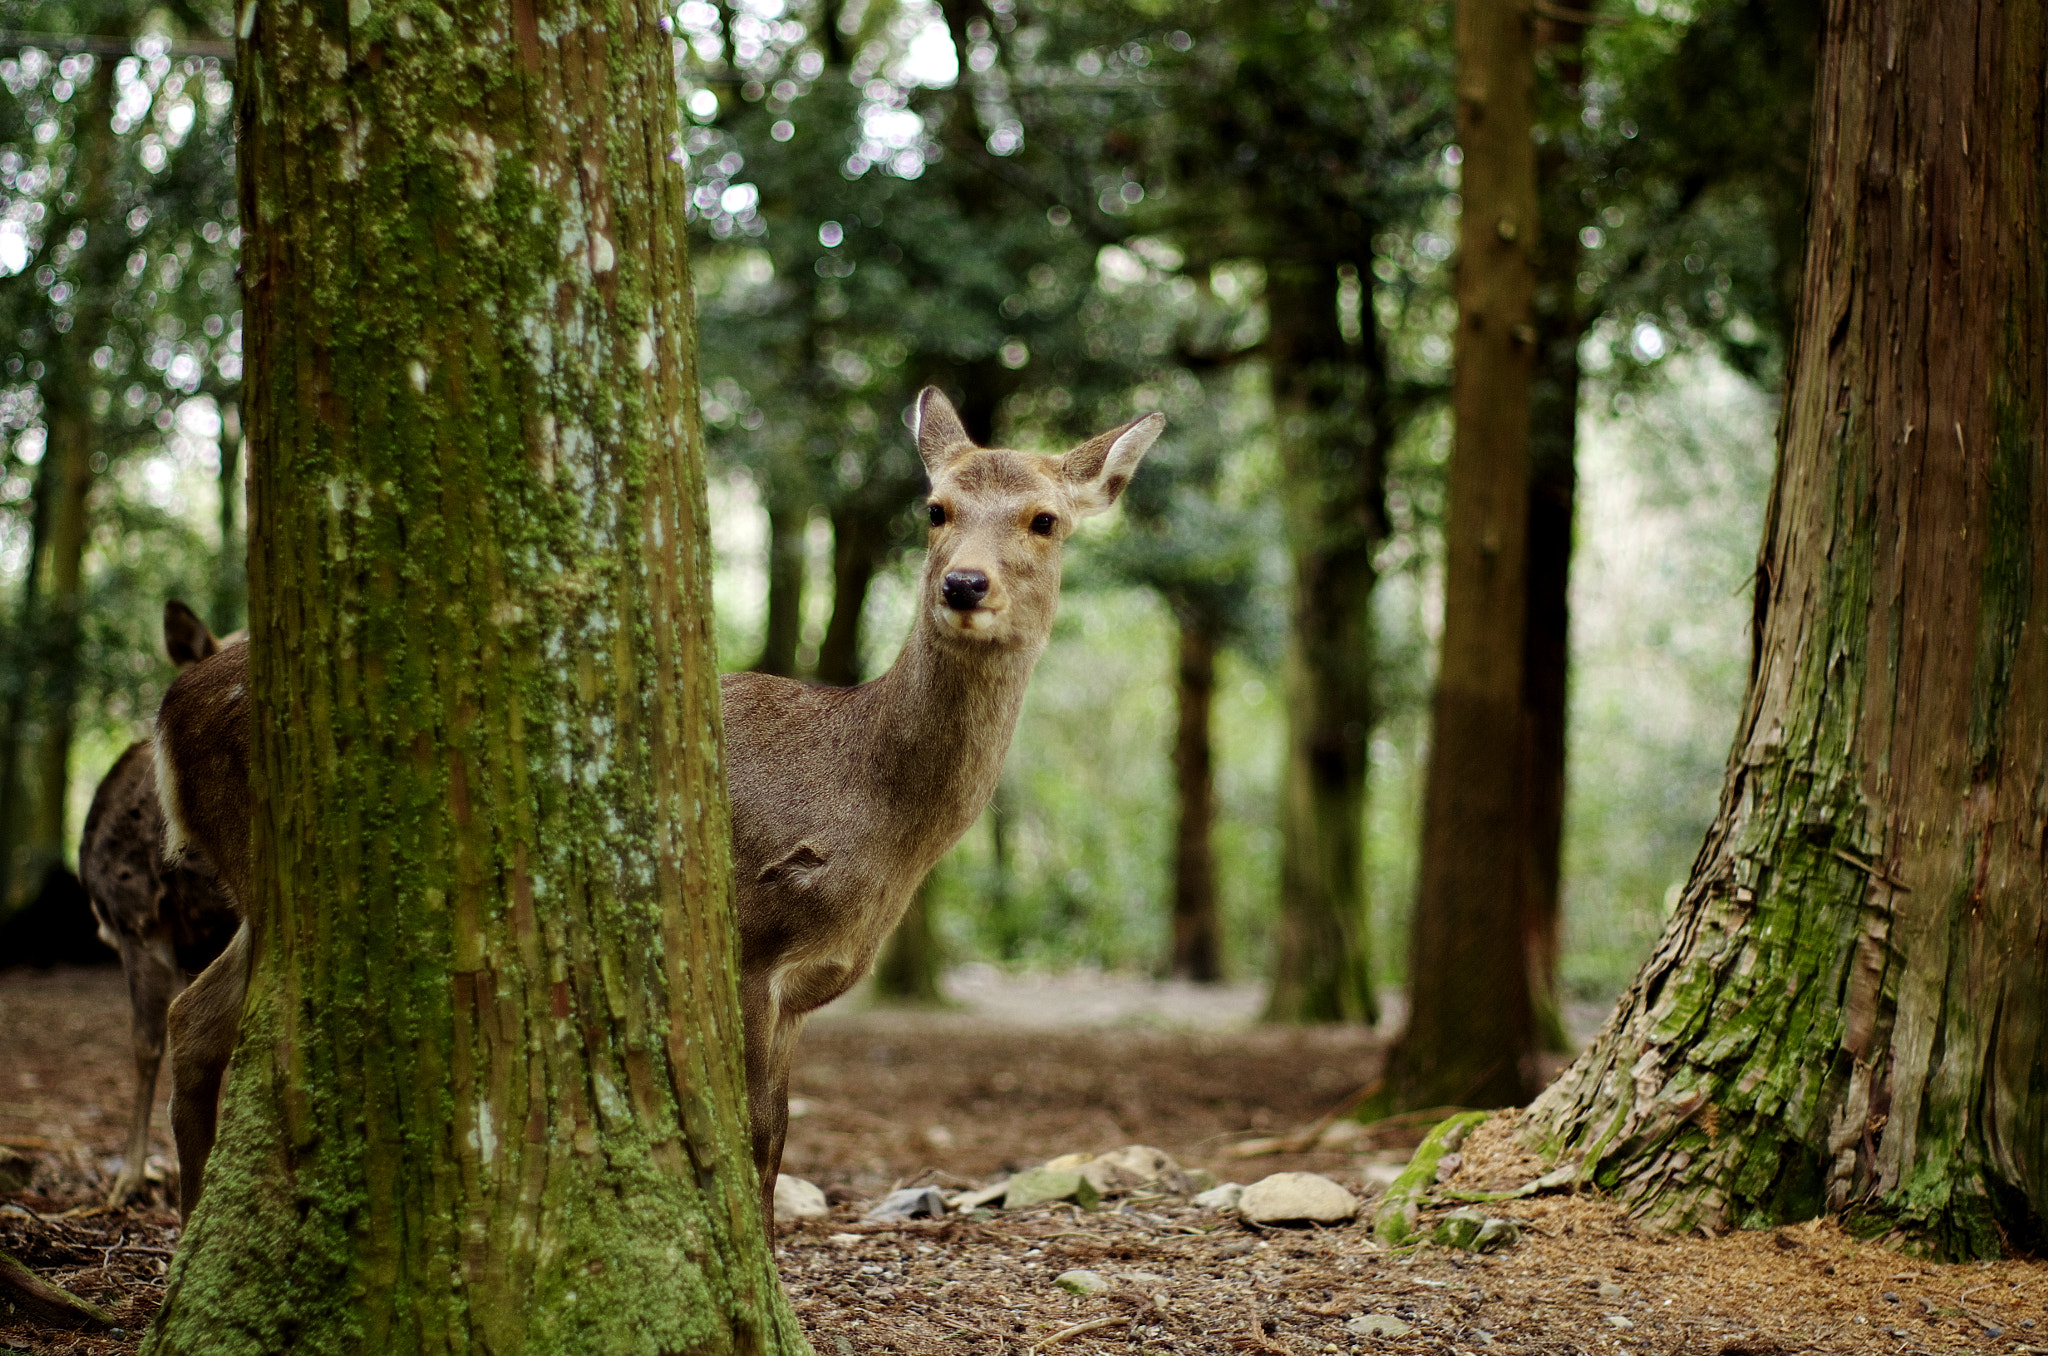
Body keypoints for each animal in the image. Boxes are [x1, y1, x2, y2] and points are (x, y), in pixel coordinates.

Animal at [151, 387, 1163, 1229]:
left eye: (1044, 519)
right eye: (935, 510)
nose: (963, 584)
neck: (870, 818)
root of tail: (167, 710)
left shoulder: (802, 988)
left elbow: (780, 1134)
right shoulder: (745, 939)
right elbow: (751, 1134)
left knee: (193, 1018)